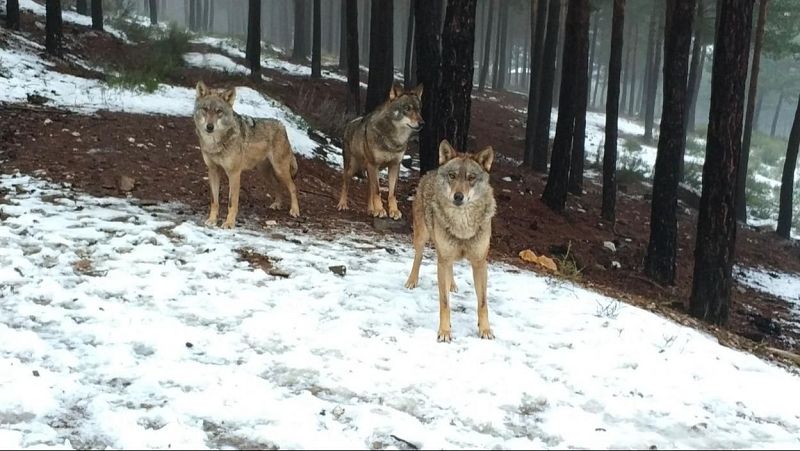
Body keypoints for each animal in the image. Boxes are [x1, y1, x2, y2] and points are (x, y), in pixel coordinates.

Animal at [193, 81, 300, 229]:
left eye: (219, 111)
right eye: (205, 109)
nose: (210, 127)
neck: (215, 143)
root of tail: (282, 126)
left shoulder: (234, 174)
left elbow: (232, 203)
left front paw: (229, 223)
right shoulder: (213, 171)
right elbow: (214, 201)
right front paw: (212, 220)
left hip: (280, 170)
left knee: (293, 187)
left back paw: (295, 210)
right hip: (265, 173)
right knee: (277, 186)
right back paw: (277, 204)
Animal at [336, 83, 424, 220]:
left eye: (419, 109)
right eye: (407, 108)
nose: (422, 123)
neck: (394, 140)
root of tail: (350, 122)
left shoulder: (394, 166)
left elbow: (392, 193)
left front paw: (393, 211)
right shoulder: (374, 165)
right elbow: (377, 191)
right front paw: (380, 210)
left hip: (370, 170)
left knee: (369, 190)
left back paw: (371, 210)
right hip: (353, 169)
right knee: (346, 184)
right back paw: (343, 204)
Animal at [404, 139, 497, 342]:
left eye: (471, 178)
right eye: (452, 176)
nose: (458, 196)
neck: (462, 225)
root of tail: (431, 171)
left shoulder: (480, 263)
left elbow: (483, 303)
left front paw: (485, 329)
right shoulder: (443, 259)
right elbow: (444, 302)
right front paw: (445, 331)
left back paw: (452, 284)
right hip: (422, 238)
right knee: (418, 258)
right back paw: (412, 281)